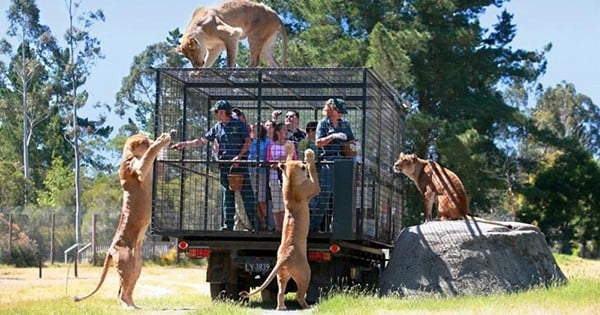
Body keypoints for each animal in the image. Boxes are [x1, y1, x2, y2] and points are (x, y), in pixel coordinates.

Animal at [73, 131, 171, 308]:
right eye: (144, 141)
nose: (151, 139)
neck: (130, 154)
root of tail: (110, 248)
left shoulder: (154, 172)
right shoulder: (138, 169)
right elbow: (149, 154)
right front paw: (162, 140)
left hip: (136, 265)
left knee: (127, 289)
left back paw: (135, 306)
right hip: (126, 263)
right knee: (120, 292)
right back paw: (128, 307)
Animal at [240, 143, 322, 312]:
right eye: (302, 165)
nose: (303, 161)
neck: (291, 180)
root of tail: (284, 257)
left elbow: (287, 160)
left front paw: (289, 147)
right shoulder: (312, 188)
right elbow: (314, 174)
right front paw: (309, 155)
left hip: (282, 275)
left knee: (280, 292)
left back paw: (281, 307)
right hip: (305, 273)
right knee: (299, 295)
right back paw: (307, 306)